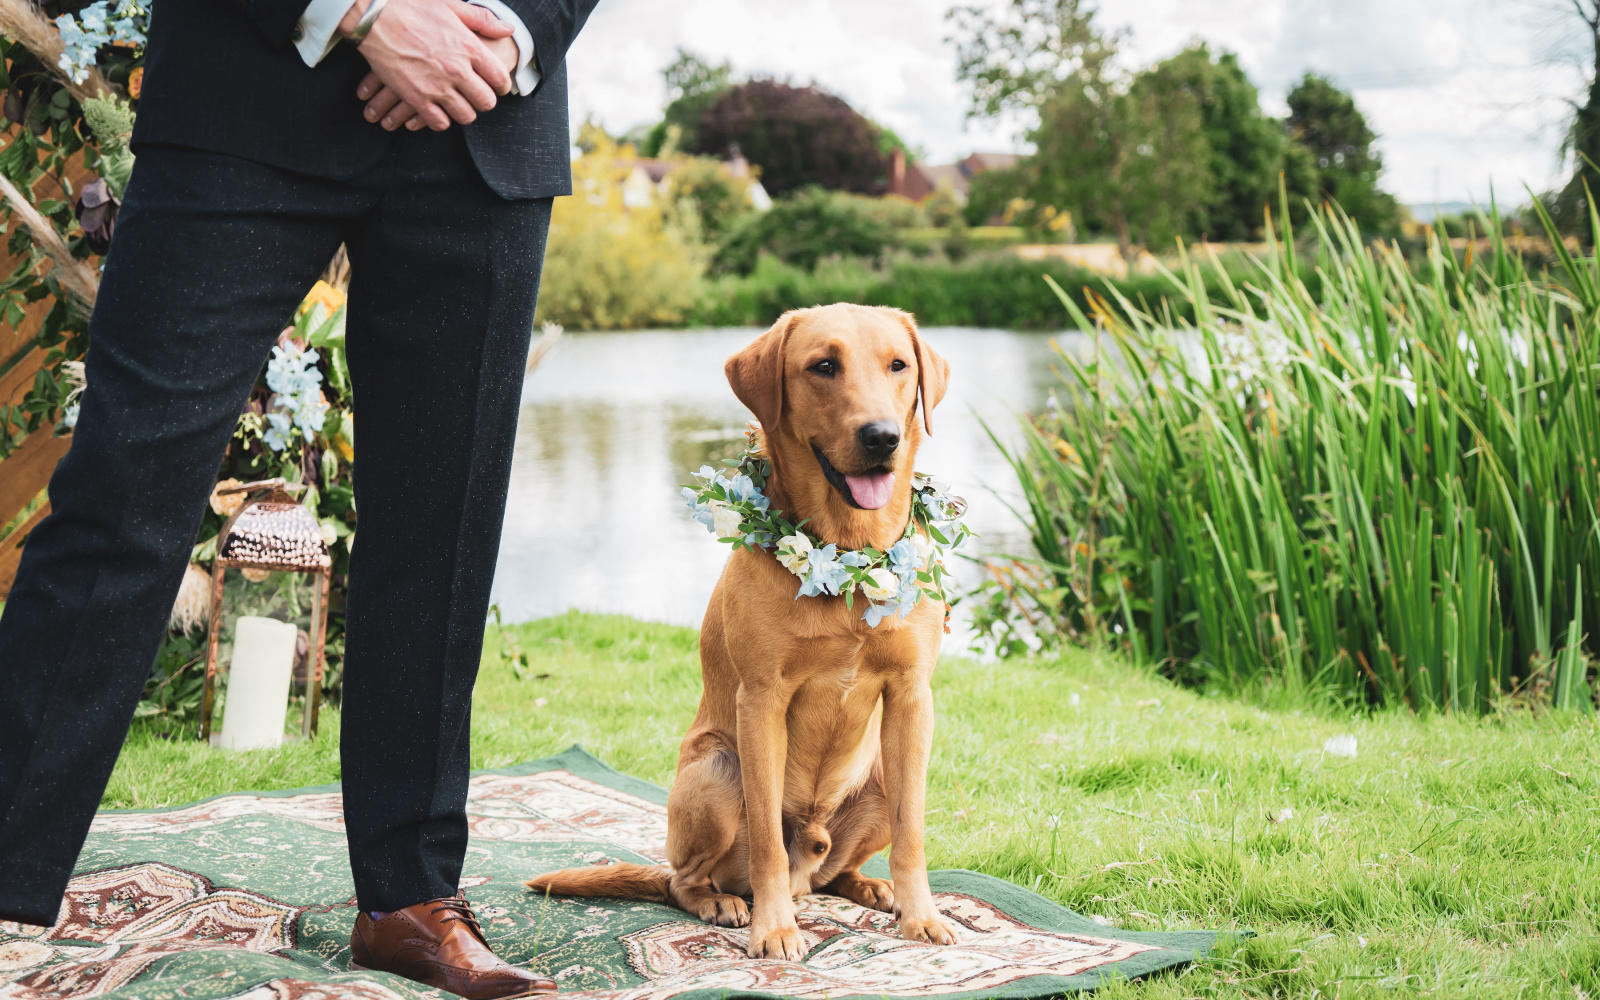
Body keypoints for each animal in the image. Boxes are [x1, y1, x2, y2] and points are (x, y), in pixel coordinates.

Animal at [524, 304, 947, 960]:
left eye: (899, 365)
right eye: (823, 366)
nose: (882, 437)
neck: (846, 555)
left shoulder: (910, 696)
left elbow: (913, 832)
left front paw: (919, 915)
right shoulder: (762, 700)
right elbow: (770, 842)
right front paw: (773, 930)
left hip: (876, 775)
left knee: (834, 871)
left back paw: (869, 887)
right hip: (716, 771)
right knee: (685, 879)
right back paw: (723, 904)